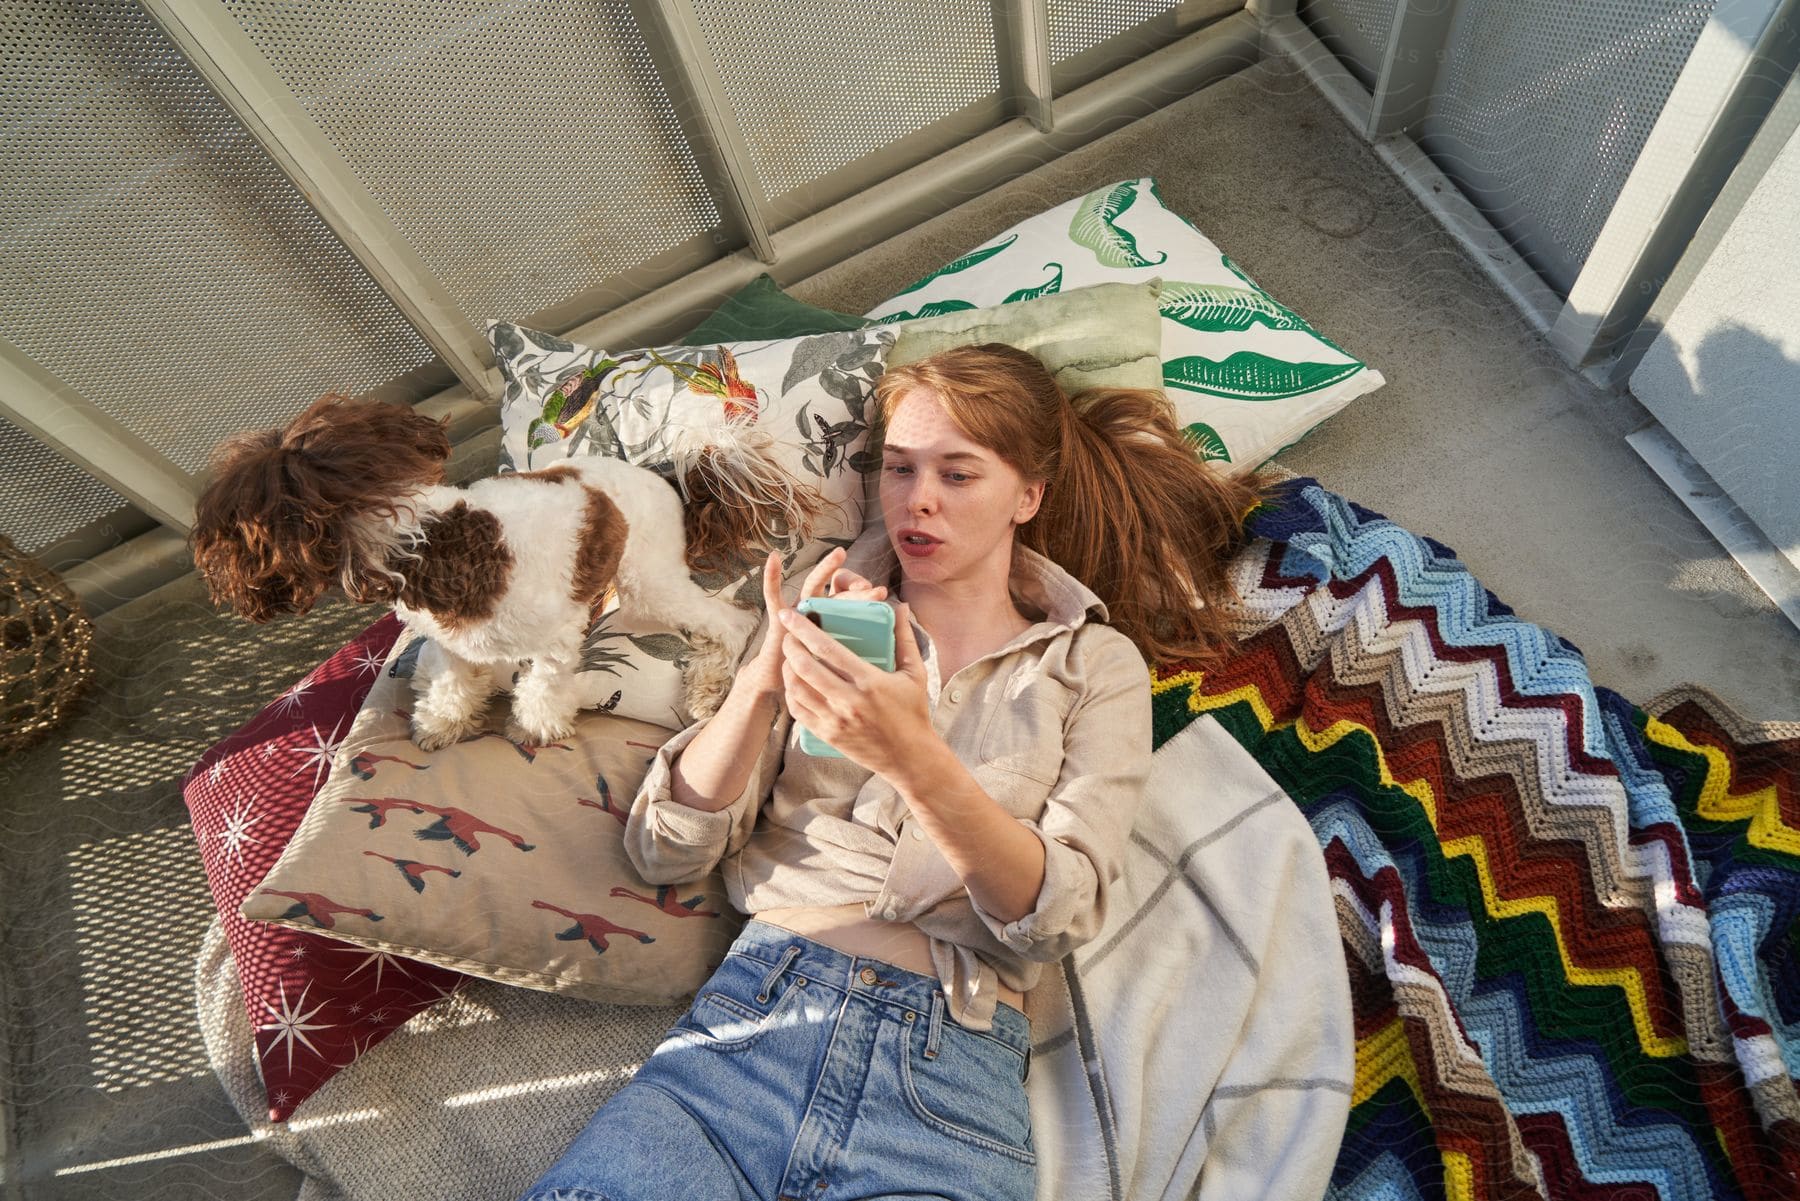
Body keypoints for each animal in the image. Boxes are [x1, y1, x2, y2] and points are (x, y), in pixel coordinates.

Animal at [191, 394, 824, 752]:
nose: (210, 568)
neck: (430, 538)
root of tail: (669, 477)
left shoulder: (556, 640)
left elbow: (542, 688)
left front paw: (535, 729)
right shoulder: (452, 643)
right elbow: (451, 682)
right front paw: (443, 723)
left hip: (650, 582)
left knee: (730, 624)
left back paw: (708, 687)